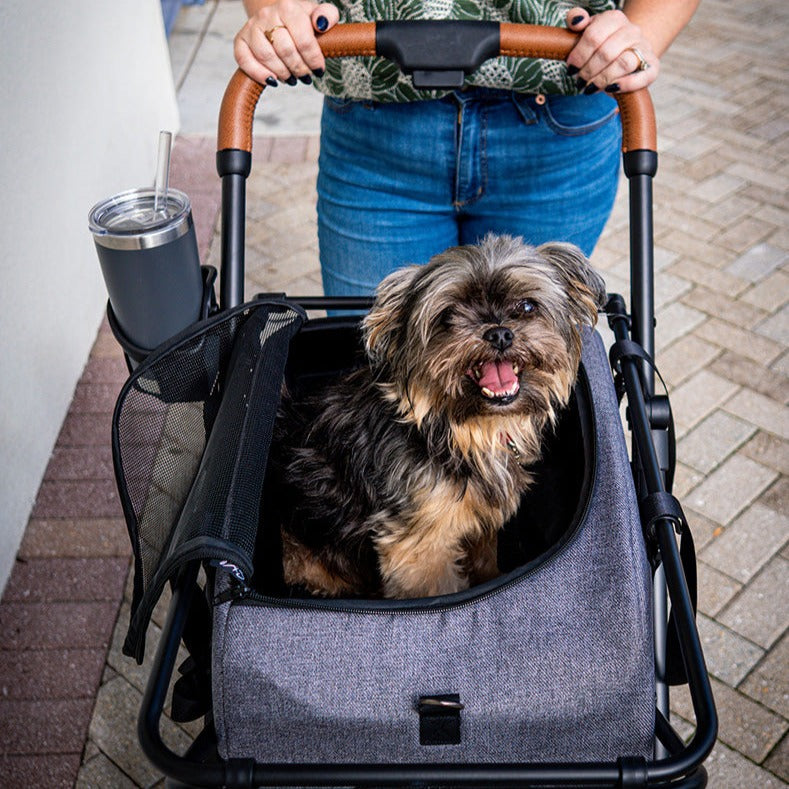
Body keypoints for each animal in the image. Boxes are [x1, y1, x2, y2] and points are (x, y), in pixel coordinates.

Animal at [264, 237, 604, 600]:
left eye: (527, 306)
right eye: (449, 315)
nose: (499, 333)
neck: (464, 431)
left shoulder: (478, 526)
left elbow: (486, 562)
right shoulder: (419, 551)